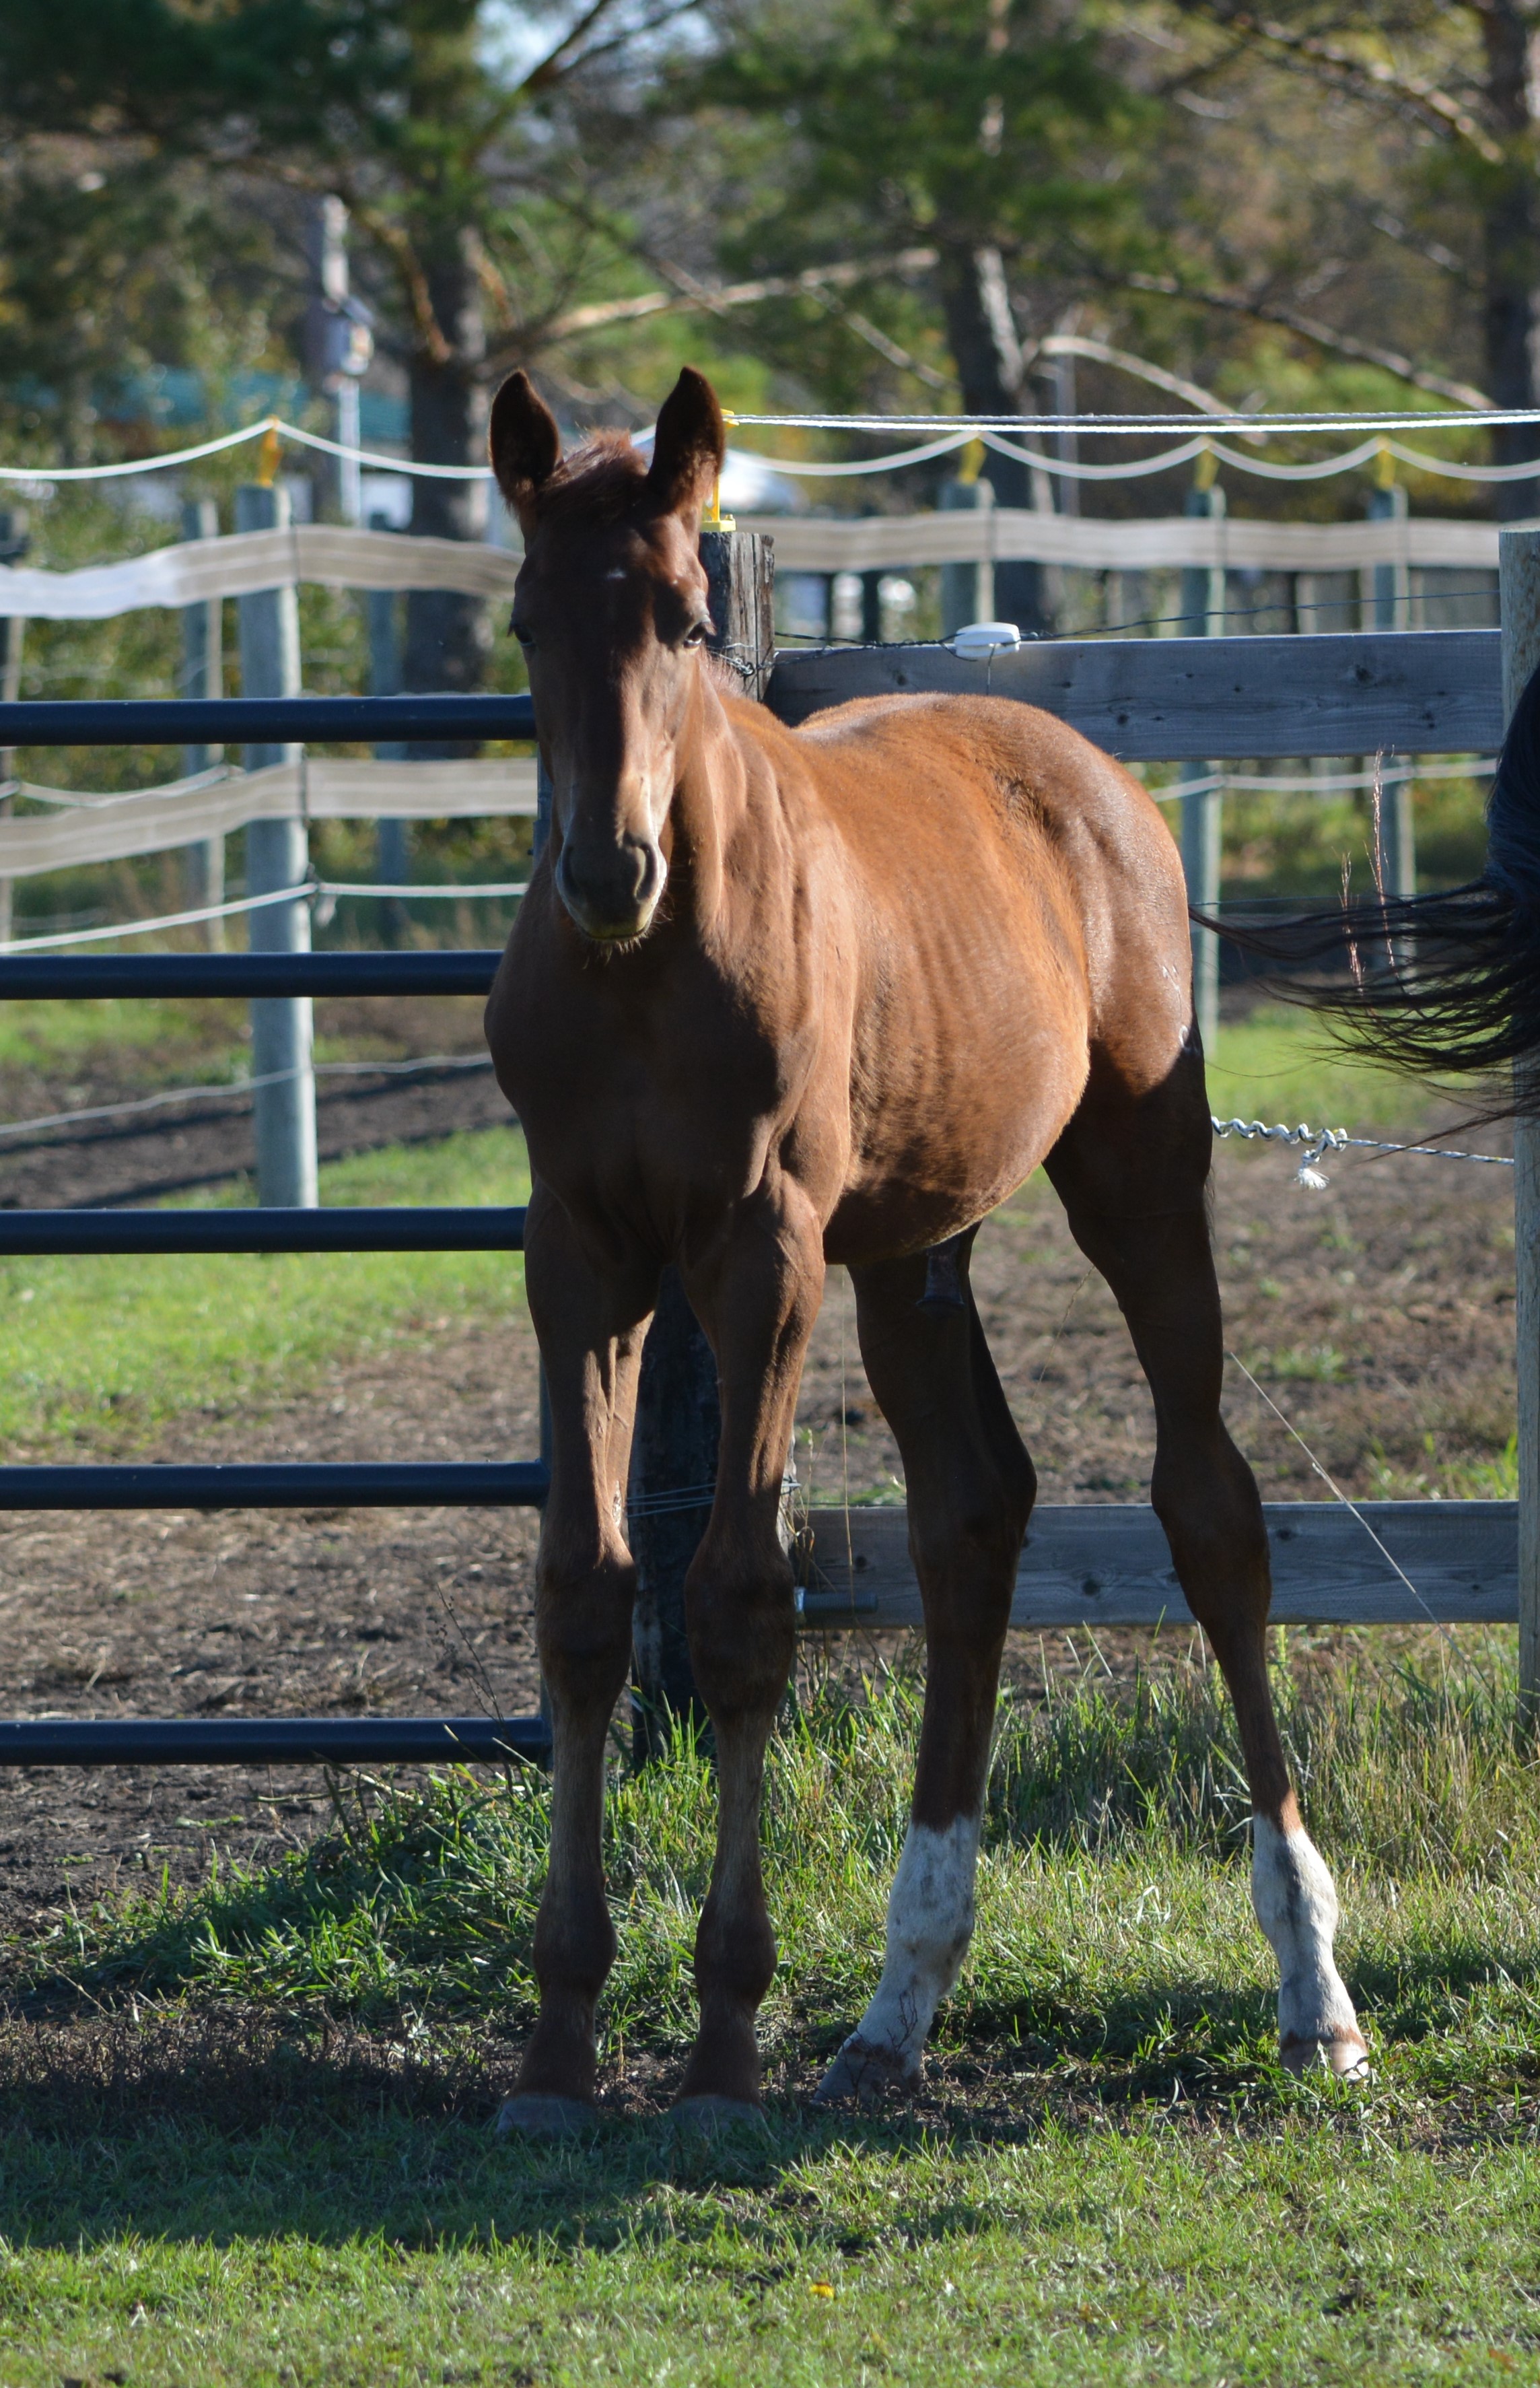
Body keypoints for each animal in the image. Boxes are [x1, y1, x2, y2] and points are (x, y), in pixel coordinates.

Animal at [481, 364, 1368, 2134]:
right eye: (528, 619)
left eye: (687, 619)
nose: (606, 869)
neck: (645, 971)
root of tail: (1083, 769)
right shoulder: (580, 1259)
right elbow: (587, 1599)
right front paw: (557, 2036)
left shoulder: (758, 1256)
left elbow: (739, 1602)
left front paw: (722, 2031)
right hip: (912, 1241)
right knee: (970, 1516)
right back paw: (898, 2000)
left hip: (1134, 1180)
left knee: (1209, 1511)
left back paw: (1311, 1986)